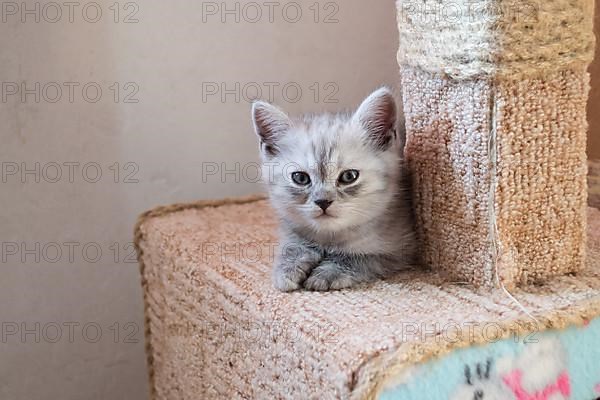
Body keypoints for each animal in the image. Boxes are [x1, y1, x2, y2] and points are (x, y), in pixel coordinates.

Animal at [251, 87, 414, 290]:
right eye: (300, 178)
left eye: (349, 176)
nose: (323, 202)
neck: (330, 237)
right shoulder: (291, 225)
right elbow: (292, 243)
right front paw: (288, 266)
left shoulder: (399, 250)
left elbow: (362, 257)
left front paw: (328, 272)